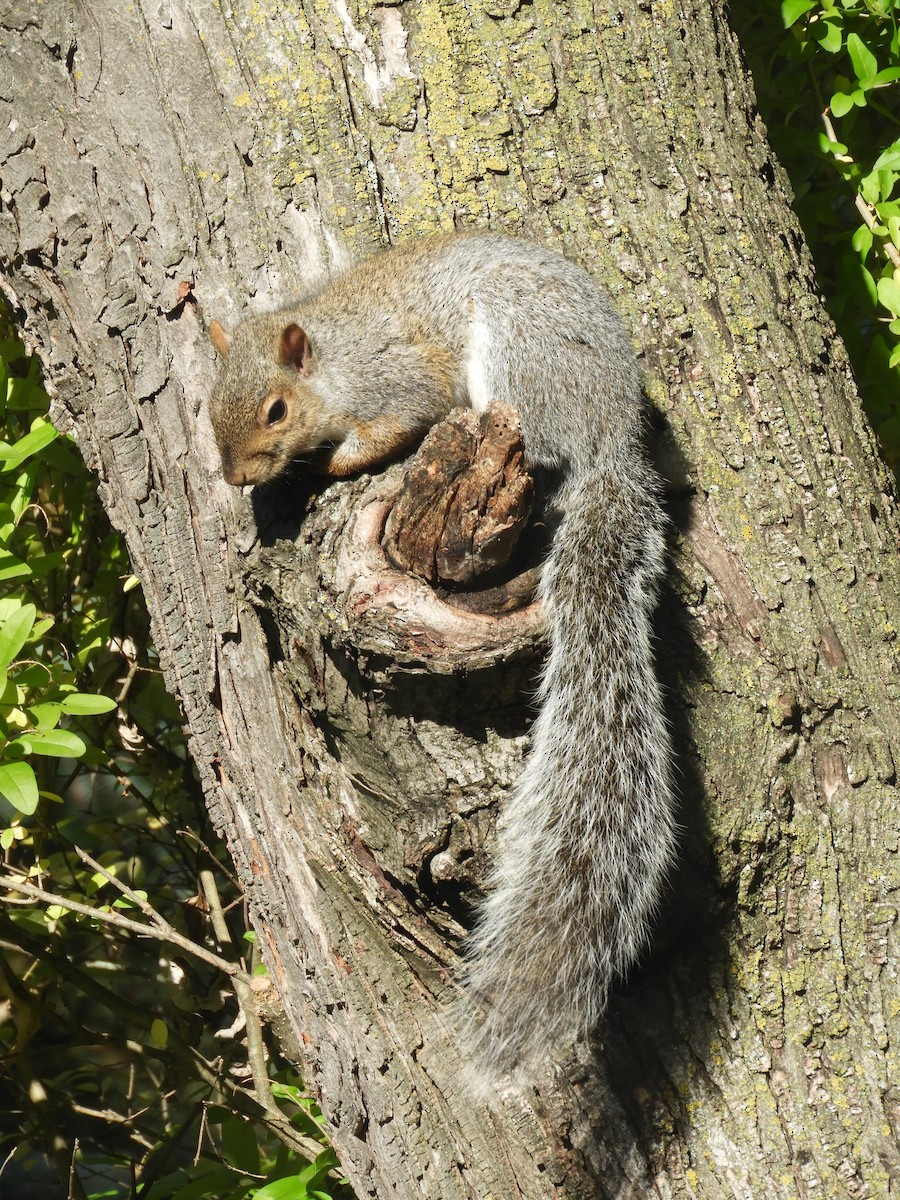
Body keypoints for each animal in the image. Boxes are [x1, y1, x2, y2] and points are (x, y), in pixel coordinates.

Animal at [208, 231, 676, 1086]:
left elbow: (389, 430)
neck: (329, 357)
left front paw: (331, 468)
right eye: (210, 406)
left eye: (275, 410)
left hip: (519, 357)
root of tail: (613, 441)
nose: (236, 475)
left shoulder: (397, 382)